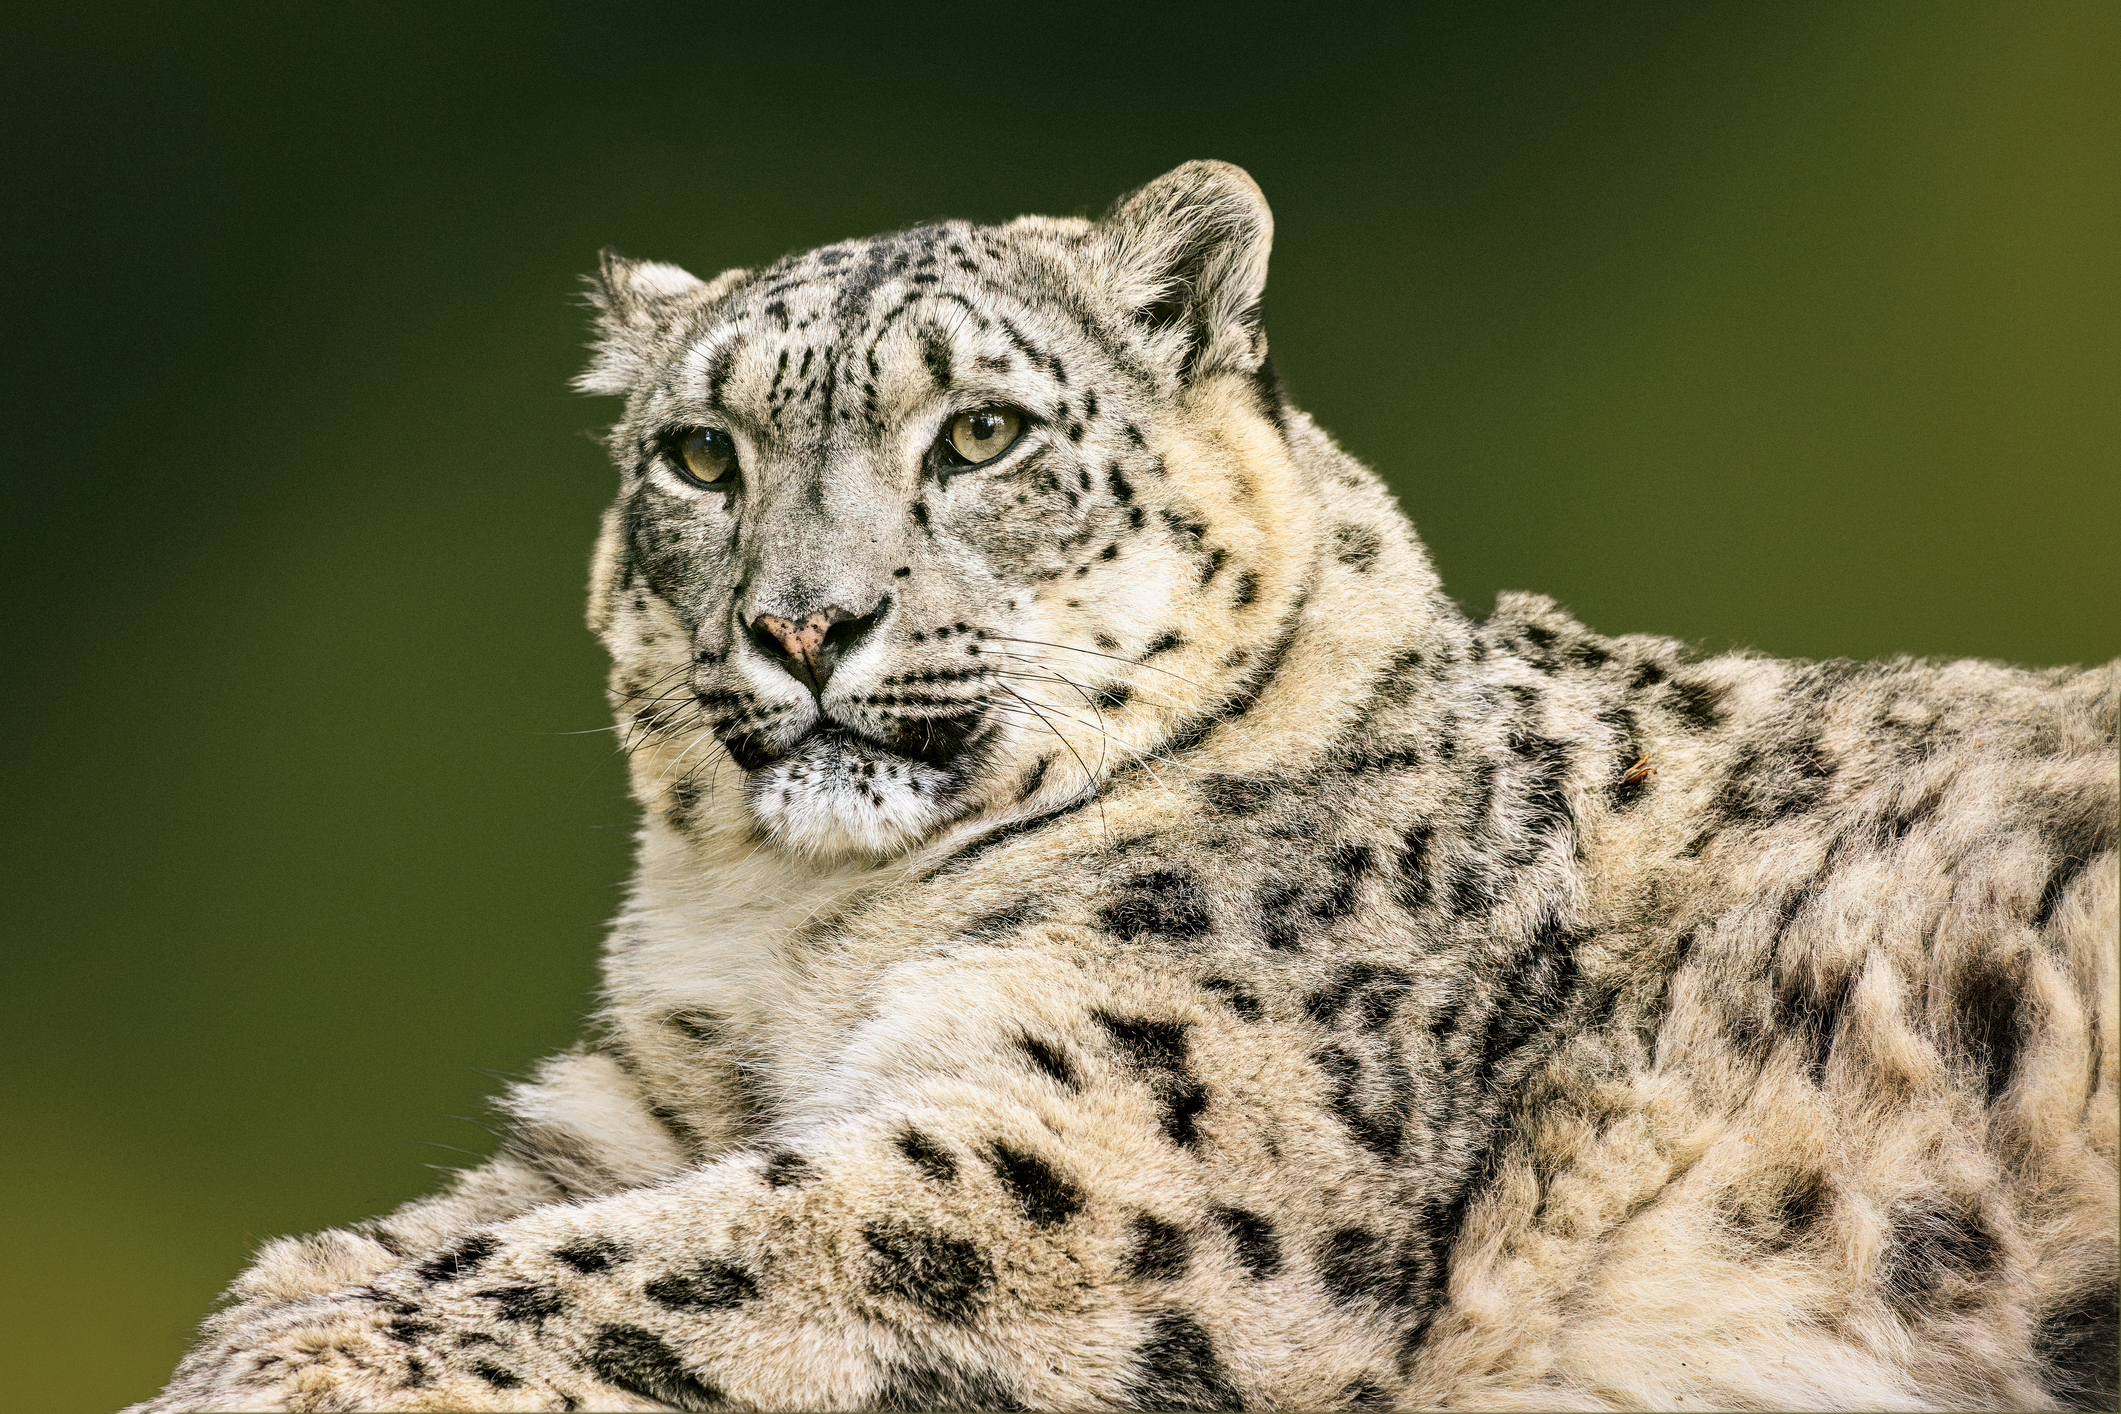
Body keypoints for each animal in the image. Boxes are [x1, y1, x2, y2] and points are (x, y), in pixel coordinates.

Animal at [133, 161, 2116, 1413]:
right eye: (699, 454)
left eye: (981, 432)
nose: (801, 620)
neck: (791, 938)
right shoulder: (630, 1109)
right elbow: (416, 1238)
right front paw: (253, 1324)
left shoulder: (1107, 1155)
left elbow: (636, 1263)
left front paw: (270, 1371)